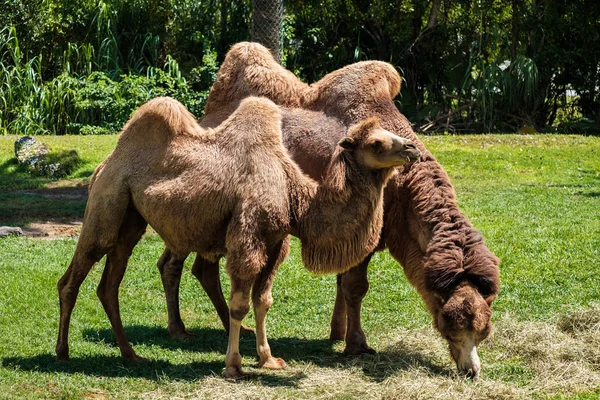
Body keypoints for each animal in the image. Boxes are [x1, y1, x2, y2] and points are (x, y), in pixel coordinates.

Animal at [57, 94, 422, 378]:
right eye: (376, 143)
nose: (412, 148)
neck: (293, 192)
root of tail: (103, 165)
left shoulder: (276, 244)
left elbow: (263, 301)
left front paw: (268, 358)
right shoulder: (247, 240)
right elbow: (239, 304)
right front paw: (233, 365)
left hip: (130, 221)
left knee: (109, 284)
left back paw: (130, 354)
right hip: (107, 205)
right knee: (74, 275)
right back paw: (63, 352)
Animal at [156, 42, 502, 380]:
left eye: (484, 327)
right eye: (449, 319)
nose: (471, 370)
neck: (402, 190)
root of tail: (208, 118)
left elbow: (342, 280)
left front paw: (338, 332)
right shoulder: (367, 230)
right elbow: (355, 287)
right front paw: (356, 343)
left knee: (202, 266)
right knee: (173, 262)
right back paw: (179, 329)